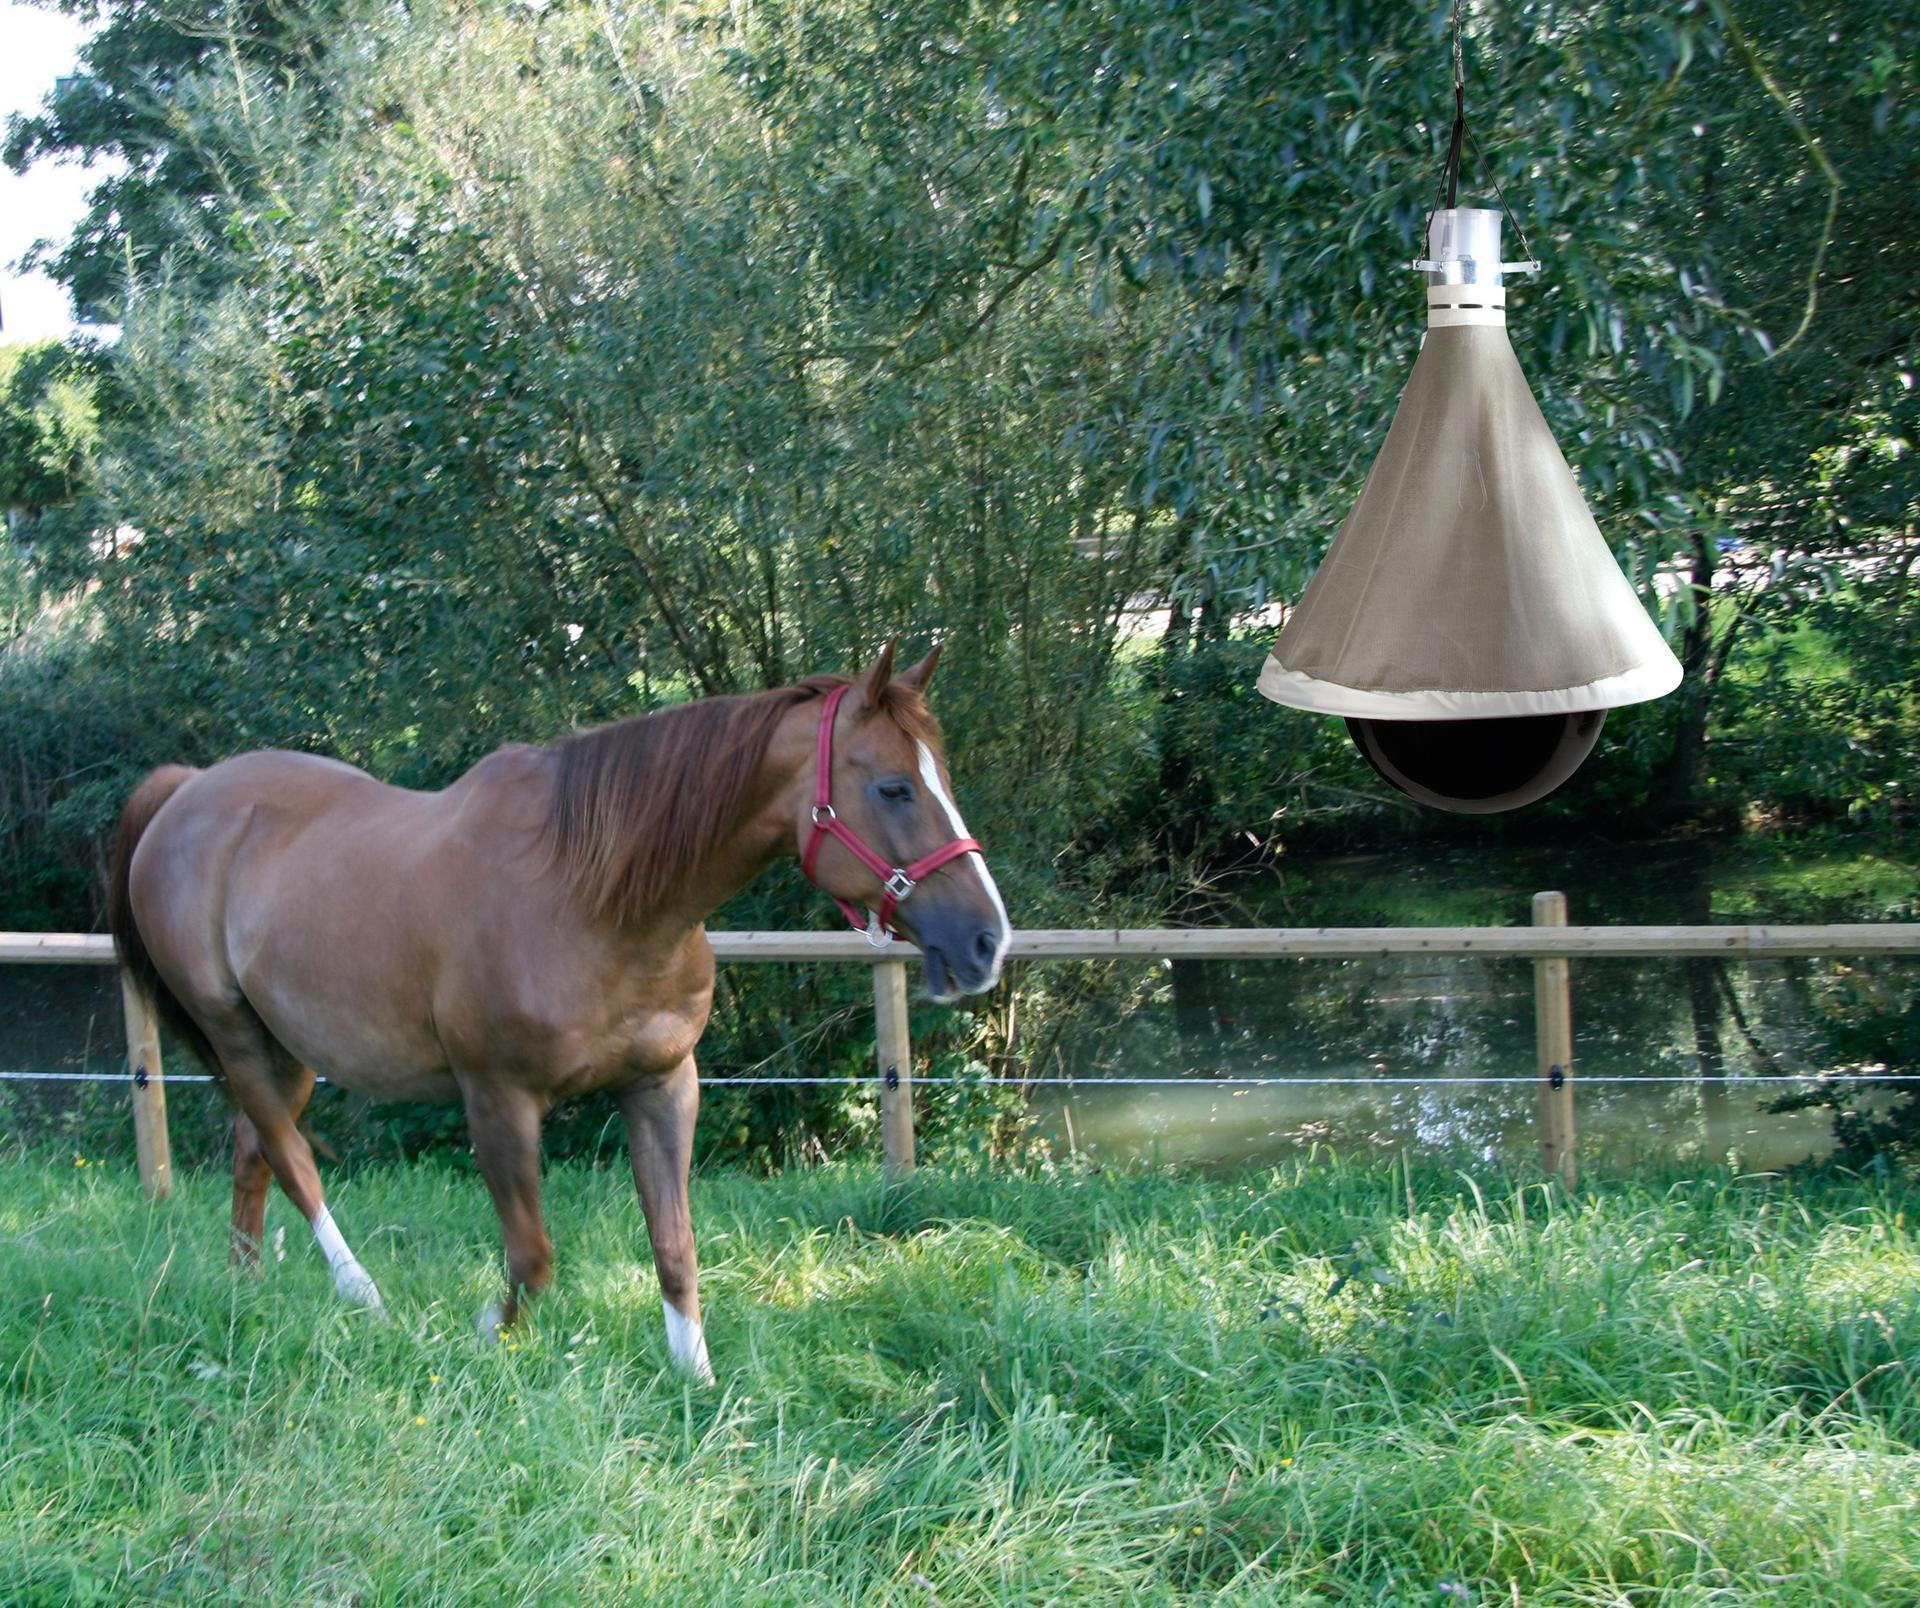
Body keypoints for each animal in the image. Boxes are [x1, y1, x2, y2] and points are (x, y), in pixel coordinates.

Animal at [106, 642, 1010, 1382]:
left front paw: (696, 1381)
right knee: (293, 1161)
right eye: (892, 786)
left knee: (252, 1150)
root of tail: (188, 793)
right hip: (233, 1033)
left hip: (289, 1049)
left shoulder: (663, 1085)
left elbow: (675, 1248)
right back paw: (359, 1294)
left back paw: (246, 1290)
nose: (986, 941)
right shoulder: (498, 1100)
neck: (596, 899)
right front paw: (489, 1332)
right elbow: (533, 1256)